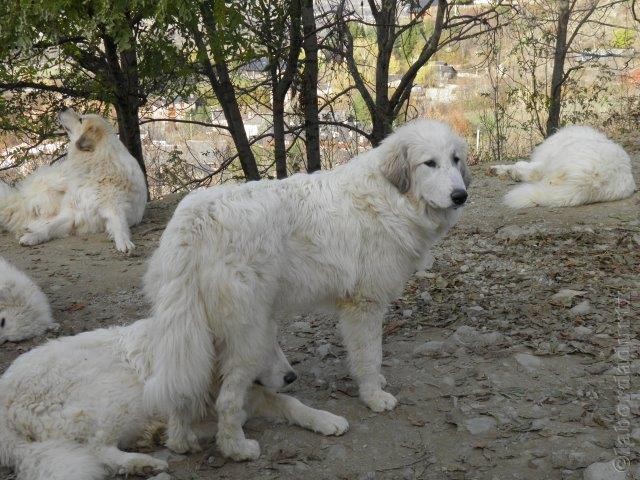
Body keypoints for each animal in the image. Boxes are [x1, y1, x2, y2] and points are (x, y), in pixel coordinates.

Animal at [0, 107, 146, 253]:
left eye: (81, 119)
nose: (63, 107)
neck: (97, 163)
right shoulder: (73, 213)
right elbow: (48, 228)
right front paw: (32, 237)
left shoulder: (115, 208)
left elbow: (120, 226)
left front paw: (124, 242)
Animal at [0, 316, 350, 478]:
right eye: (258, 349)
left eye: (276, 343)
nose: (292, 376)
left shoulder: (252, 392)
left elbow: (290, 403)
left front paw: (326, 419)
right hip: (119, 392)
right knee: (98, 448)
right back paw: (144, 462)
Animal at [140, 118, 470, 460]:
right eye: (429, 163)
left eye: (455, 160)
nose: (461, 195)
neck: (390, 197)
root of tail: (194, 219)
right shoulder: (364, 305)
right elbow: (370, 355)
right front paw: (374, 396)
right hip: (248, 335)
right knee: (227, 400)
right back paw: (236, 448)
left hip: (190, 331)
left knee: (183, 389)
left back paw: (181, 441)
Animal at [490, 124, 636, 207]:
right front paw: (497, 169)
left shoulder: (540, 164)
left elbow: (519, 165)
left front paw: (507, 170)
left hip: (552, 167)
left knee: (535, 178)